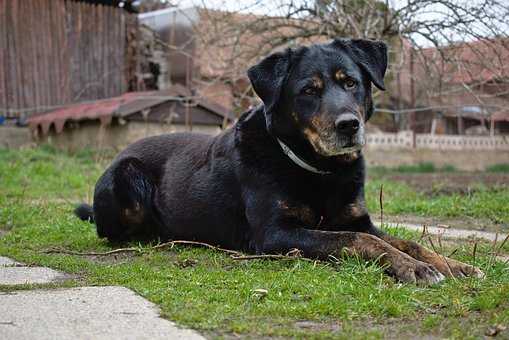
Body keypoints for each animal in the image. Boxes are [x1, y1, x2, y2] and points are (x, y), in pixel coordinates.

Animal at [75, 39, 480, 284]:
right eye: (309, 90)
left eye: (351, 83)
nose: (349, 125)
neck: (321, 170)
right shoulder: (275, 233)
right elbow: (361, 241)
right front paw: (414, 269)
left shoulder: (357, 218)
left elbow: (405, 241)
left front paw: (452, 264)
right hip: (128, 177)